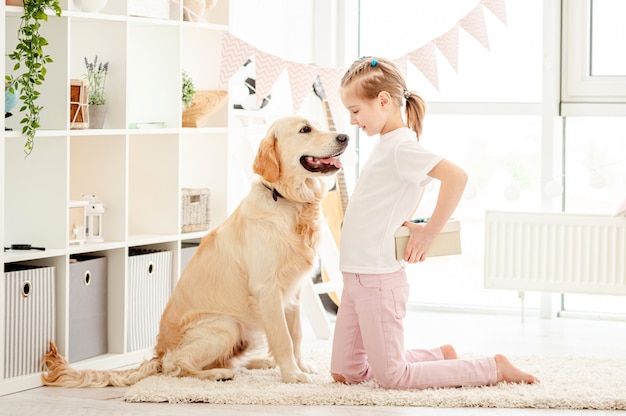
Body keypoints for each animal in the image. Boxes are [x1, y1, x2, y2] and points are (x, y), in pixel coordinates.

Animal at [41, 116, 348, 386]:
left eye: (318, 125)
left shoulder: (294, 291)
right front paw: (293, 375)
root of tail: (158, 352)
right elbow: (283, 338)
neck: (288, 201)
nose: (344, 136)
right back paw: (218, 374)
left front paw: (301, 366)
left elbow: (296, 335)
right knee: (175, 366)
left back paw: (259, 362)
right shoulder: (268, 289)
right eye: (305, 129)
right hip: (226, 325)